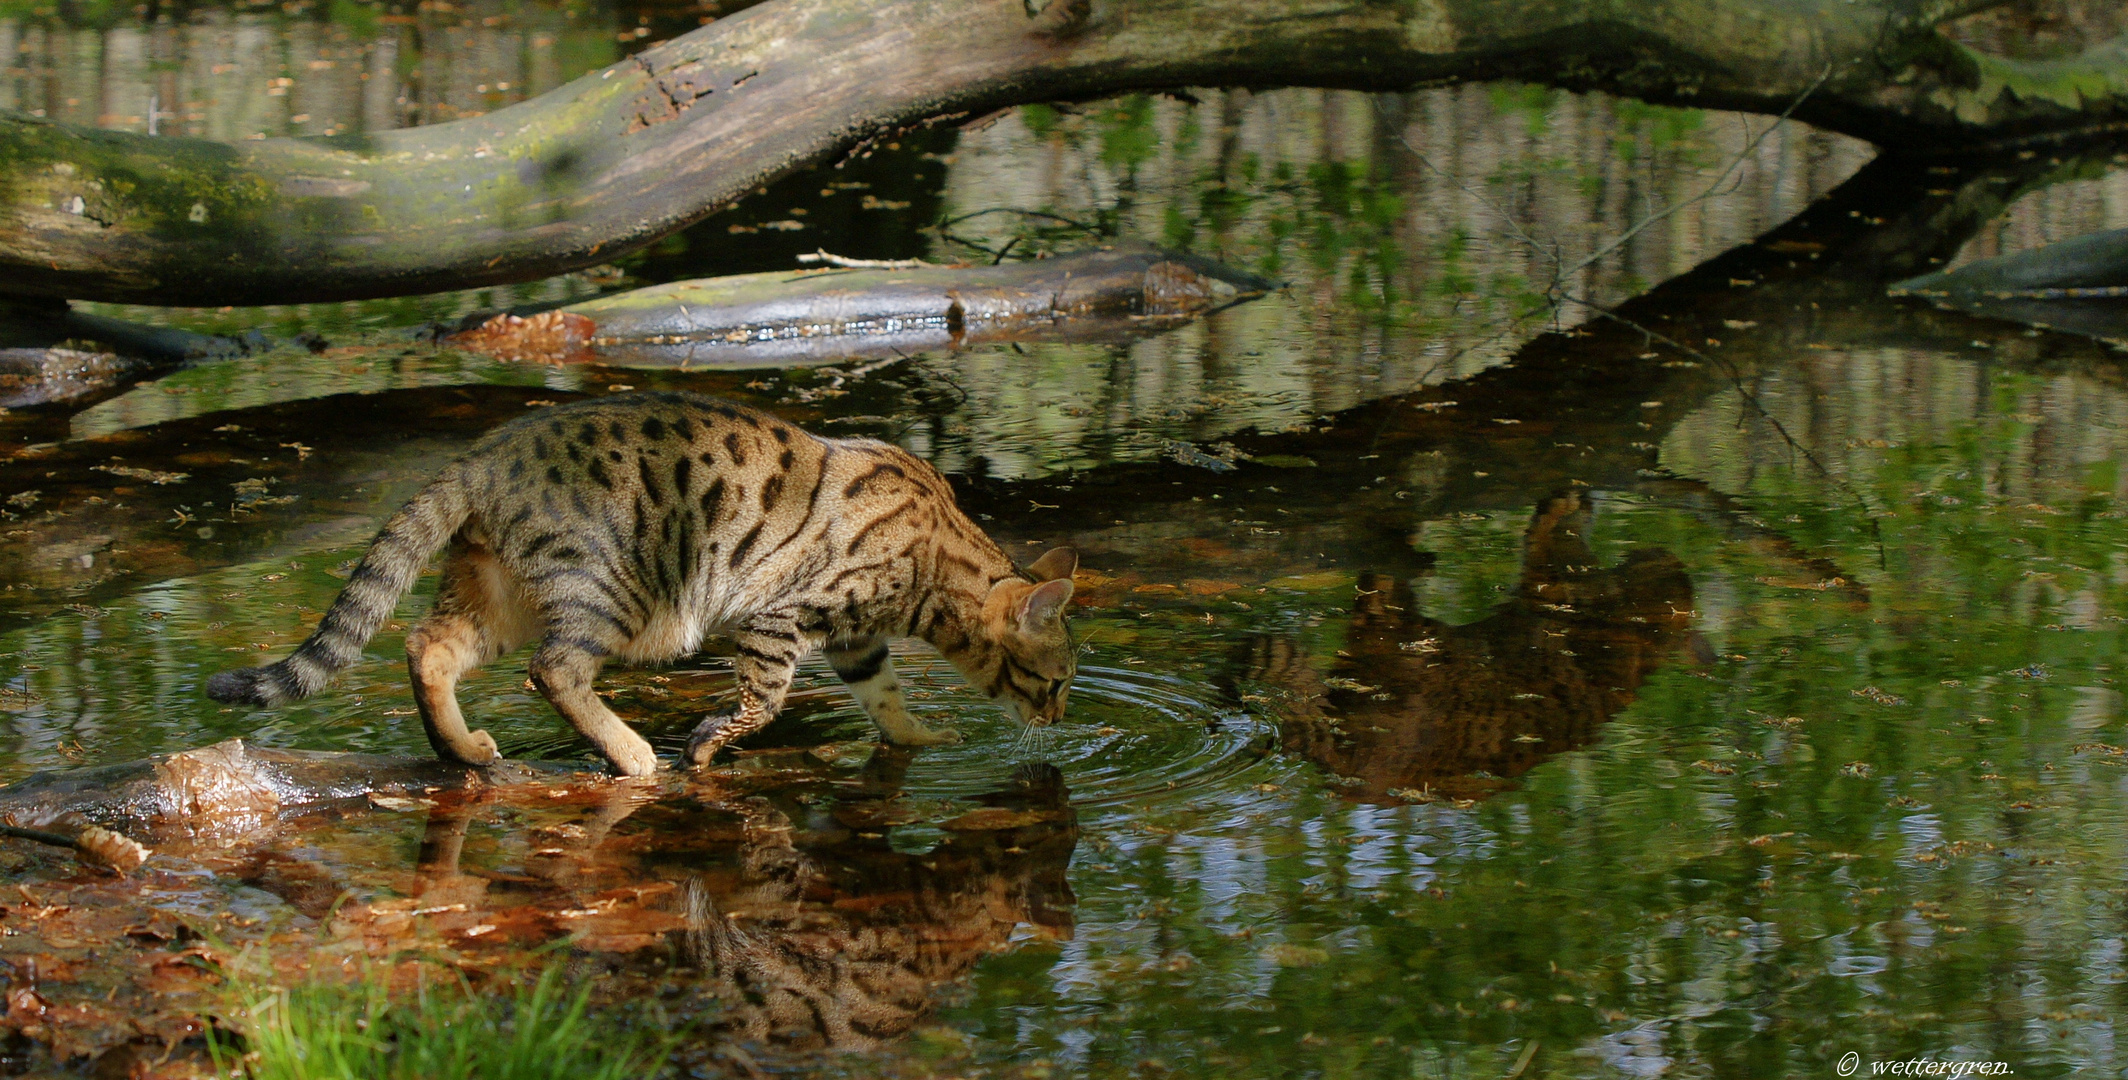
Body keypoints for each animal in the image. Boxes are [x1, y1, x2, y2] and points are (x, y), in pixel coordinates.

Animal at [205, 393, 1072, 773]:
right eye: (1060, 682)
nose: (1061, 720)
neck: (938, 559)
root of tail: (483, 454)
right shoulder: (779, 617)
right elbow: (763, 701)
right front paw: (707, 743)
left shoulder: (857, 643)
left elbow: (887, 701)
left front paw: (921, 737)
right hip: (612, 592)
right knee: (554, 670)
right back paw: (632, 755)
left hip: (497, 593)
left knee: (427, 645)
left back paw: (464, 749)